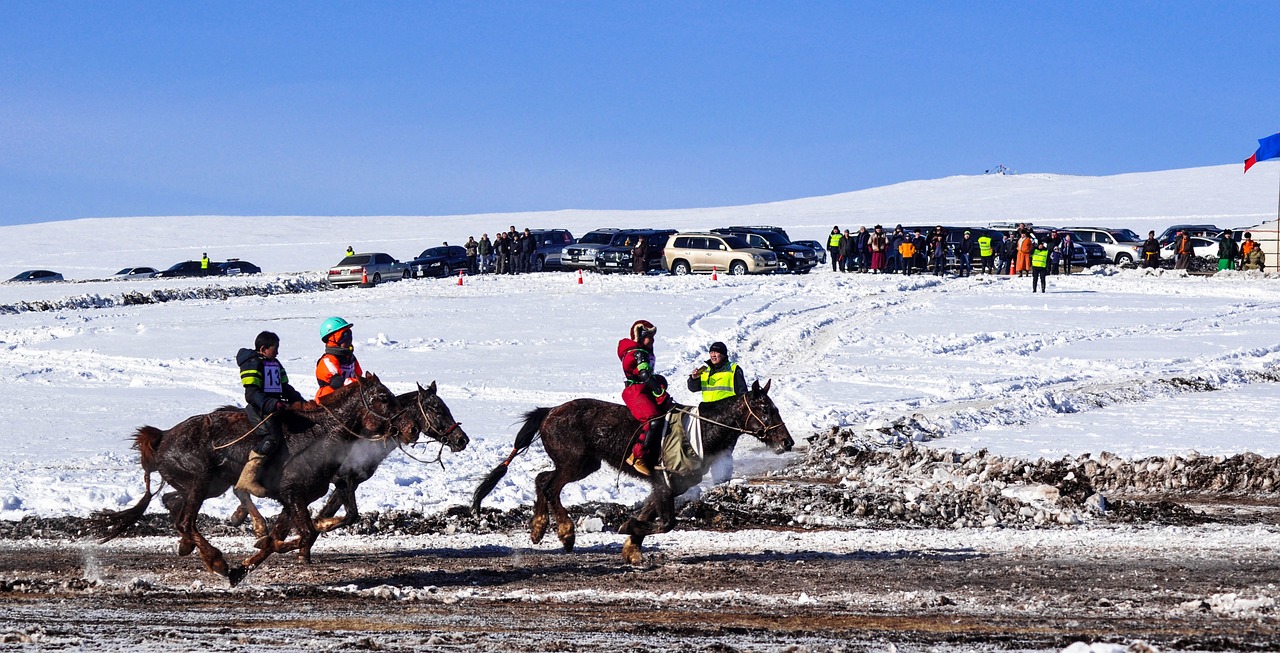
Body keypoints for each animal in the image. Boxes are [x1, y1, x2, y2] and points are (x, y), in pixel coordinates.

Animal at [90, 373, 409, 583]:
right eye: (383, 397)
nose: (406, 427)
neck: (319, 434)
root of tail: (161, 438)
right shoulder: (293, 493)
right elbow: (304, 533)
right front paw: (262, 547)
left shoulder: (298, 498)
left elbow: (298, 531)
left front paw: (249, 561)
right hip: (199, 482)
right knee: (185, 521)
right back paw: (216, 560)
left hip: (209, 485)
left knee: (172, 502)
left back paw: (190, 547)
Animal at [225, 381, 471, 535]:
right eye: (436, 409)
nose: (462, 440)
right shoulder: (343, 480)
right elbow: (349, 514)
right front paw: (318, 526)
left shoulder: (347, 483)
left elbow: (334, 511)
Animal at [471, 378, 788, 563]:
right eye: (766, 408)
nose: (786, 441)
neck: (701, 431)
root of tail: (549, 412)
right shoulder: (664, 480)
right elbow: (666, 522)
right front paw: (628, 530)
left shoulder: (670, 486)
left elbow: (649, 513)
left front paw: (632, 547)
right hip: (576, 463)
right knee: (551, 487)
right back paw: (566, 533)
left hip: (582, 463)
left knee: (542, 479)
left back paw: (538, 528)